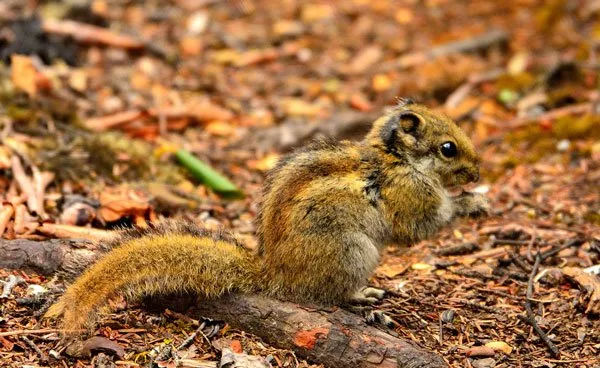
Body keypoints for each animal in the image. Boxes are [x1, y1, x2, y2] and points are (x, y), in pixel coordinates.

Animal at [45, 99, 488, 332]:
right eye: (448, 148)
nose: (478, 173)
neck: (397, 160)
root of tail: (274, 273)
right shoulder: (410, 196)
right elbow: (420, 227)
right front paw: (470, 203)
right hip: (353, 252)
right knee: (330, 294)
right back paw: (362, 297)